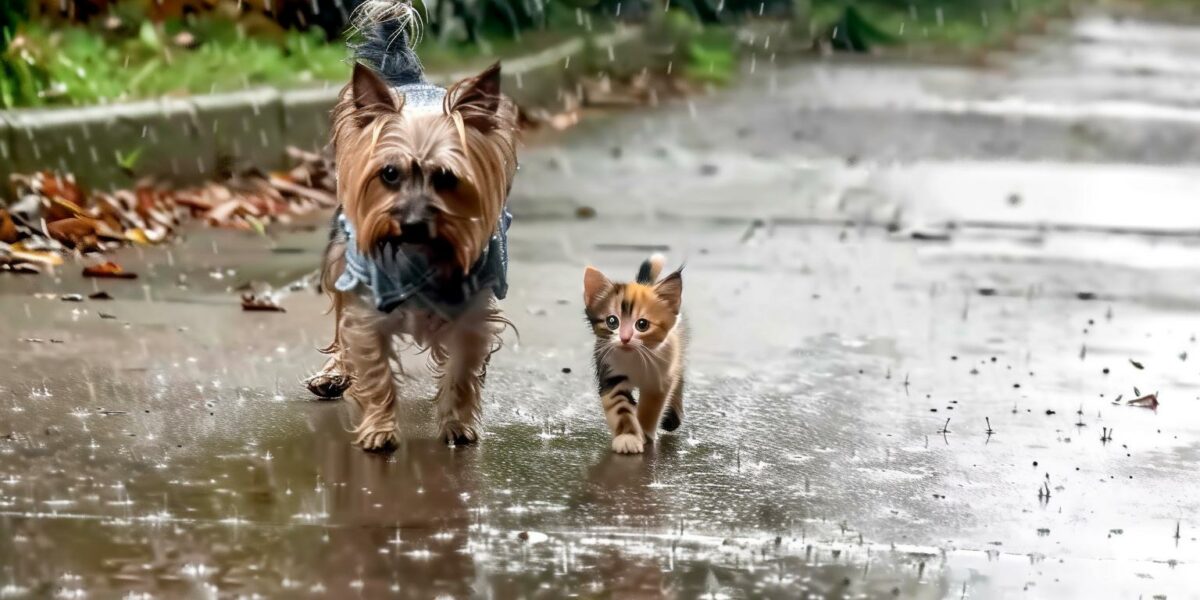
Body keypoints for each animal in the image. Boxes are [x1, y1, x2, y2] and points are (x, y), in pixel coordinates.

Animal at [302, 0, 518, 451]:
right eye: (388, 174)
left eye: (447, 178)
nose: (413, 223)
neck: (421, 254)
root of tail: (413, 83)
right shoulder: (367, 302)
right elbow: (372, 364)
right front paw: (380, 429)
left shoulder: (473, 311)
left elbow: (463, 369)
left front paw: (457, 424)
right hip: (341, 261)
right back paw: (335, 374)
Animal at [580, 254, 686, 453]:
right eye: (612, 321)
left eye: (642, 324)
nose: (625, 338)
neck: (635, 357)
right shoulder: (610, 371)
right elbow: (620, 406)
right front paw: (628, 437)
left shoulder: (660, 377)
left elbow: (652, 406)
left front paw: (644, 431)